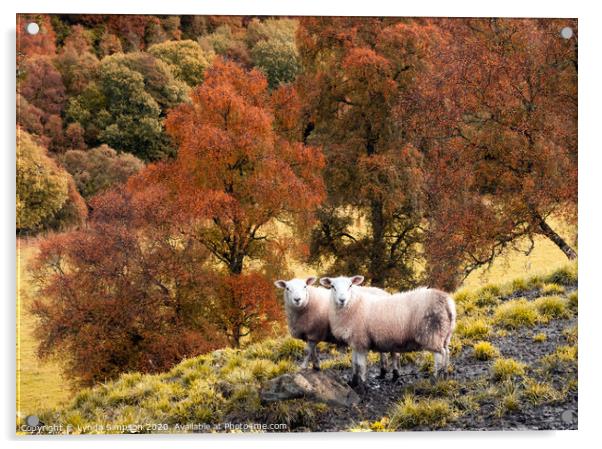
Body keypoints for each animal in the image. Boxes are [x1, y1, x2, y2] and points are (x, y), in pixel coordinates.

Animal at [318, 272, 454, 388]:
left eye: (350, 285)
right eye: (332, 286)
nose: (342, 300)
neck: (353, 304)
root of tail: (447, 302)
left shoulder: (361, 340)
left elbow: (360, 365)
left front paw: (361, 385)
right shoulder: (355, 342)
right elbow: (354, 364)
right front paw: (353, 382)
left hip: (432, 334)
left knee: (440, 356)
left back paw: (435, 379)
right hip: (445, 334)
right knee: (447, 353)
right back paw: (444, 376)